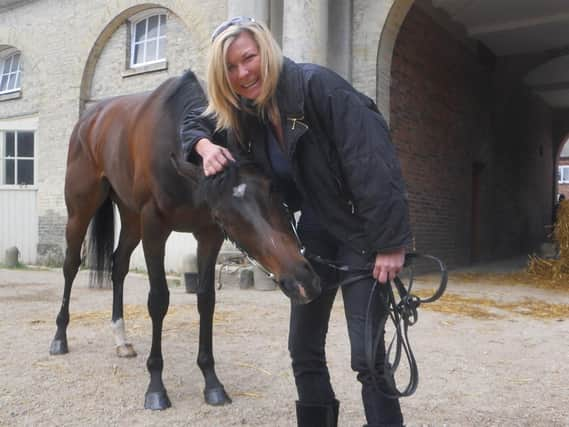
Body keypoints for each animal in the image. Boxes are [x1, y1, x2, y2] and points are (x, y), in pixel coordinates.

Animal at [48, 70, 320, 412]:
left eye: (274, 192)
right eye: (225, 215)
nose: (302, 281)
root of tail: (89, 119)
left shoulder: (208, 236)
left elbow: (206, 300)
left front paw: (212, 381)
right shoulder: (155, 229)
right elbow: (158, 300)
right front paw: (156, 386)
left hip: (131, 217)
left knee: (118, 265)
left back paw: (121, 339)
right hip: (81, 210)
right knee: (71, 265)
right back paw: (59, 337)